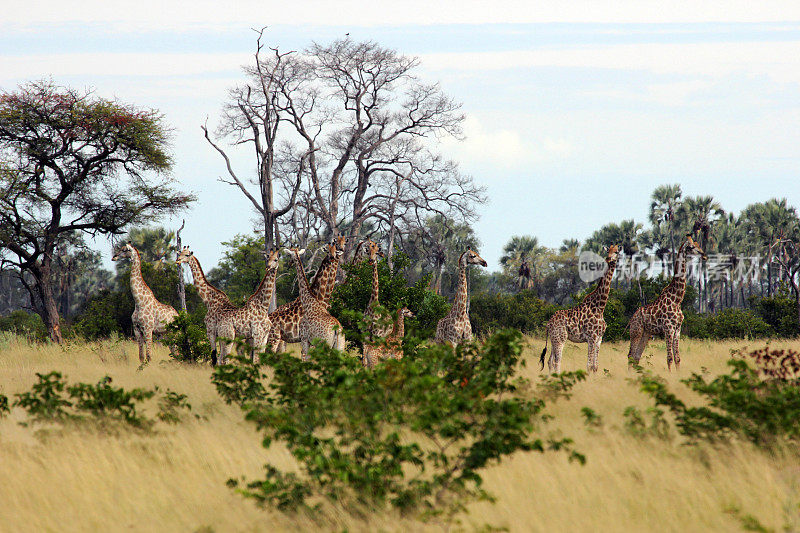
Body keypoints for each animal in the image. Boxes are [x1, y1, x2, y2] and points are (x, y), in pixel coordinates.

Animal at [540, 243, 620, 372]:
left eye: (616, 252)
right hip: (560, 339)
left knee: (549, 361)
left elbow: (595, 366)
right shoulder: (591, 337)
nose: (608, 259)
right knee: (557, 361)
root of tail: (549, 324)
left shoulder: (599, 339)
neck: (600, 307)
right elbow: (589, 366)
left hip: (553, 339)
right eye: (608, 251)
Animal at [628, 235, 704, 368]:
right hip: (636, 332)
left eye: (697, 244)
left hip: (645, 333)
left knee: (636, 357)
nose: (703, 254)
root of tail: (632, 319)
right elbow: (669, 358)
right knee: (630, 356)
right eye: (691, 247)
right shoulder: (668, 328)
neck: (677, 300)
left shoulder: (678, 329)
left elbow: (677, 358)